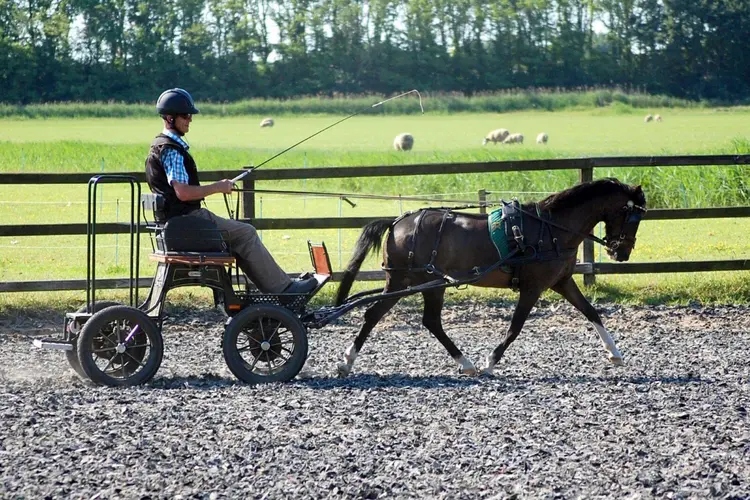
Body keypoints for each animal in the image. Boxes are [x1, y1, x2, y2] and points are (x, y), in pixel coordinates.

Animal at [334, 178, 648, 376]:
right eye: (634, 217)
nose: (622, 253)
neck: (552, 228)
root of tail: (397, 223)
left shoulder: (562, 282)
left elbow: (591, 312)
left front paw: (615, 353)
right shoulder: (533, 287)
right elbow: (515, 327)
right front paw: (490, 362)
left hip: (413, 282)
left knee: (388, 316)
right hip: (420, 282)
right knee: (412, 319)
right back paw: (467, 363)